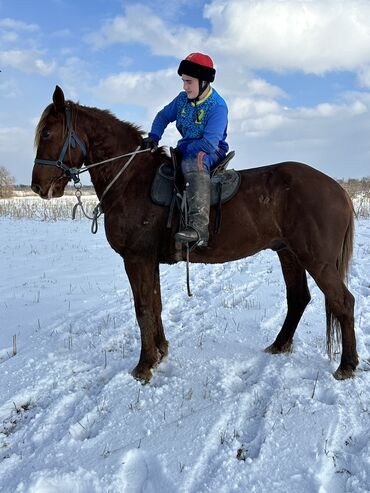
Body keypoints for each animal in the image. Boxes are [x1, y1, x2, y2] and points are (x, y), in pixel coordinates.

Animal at [31, 86, 358, 382]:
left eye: (47, 133)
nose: (38, 187)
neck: (131, 180)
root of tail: (338, 189)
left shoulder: (136, 259)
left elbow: (143, 308)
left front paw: (144, 366)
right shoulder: (148, 261)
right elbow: (155, 304)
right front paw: (160, 352)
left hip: (317, 260)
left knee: (343, 301)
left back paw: (347, 365)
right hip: (288, 253)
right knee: (299, 298)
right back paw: (279, 345)